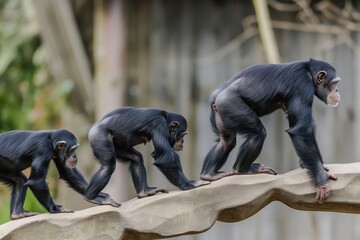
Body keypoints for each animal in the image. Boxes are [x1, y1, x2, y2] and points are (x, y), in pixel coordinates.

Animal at [201, 58, 342, 202]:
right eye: (334, 83)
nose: (336, 89)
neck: (309, 73)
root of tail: (216, 96)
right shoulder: (302, 86)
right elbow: (301, 130)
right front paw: (321, 180)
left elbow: (307, 126)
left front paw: (316, 165)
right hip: (232, 105)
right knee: (258, 133)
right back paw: (243, 170)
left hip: (220, 113)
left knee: (226, 141)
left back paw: (209, 174)